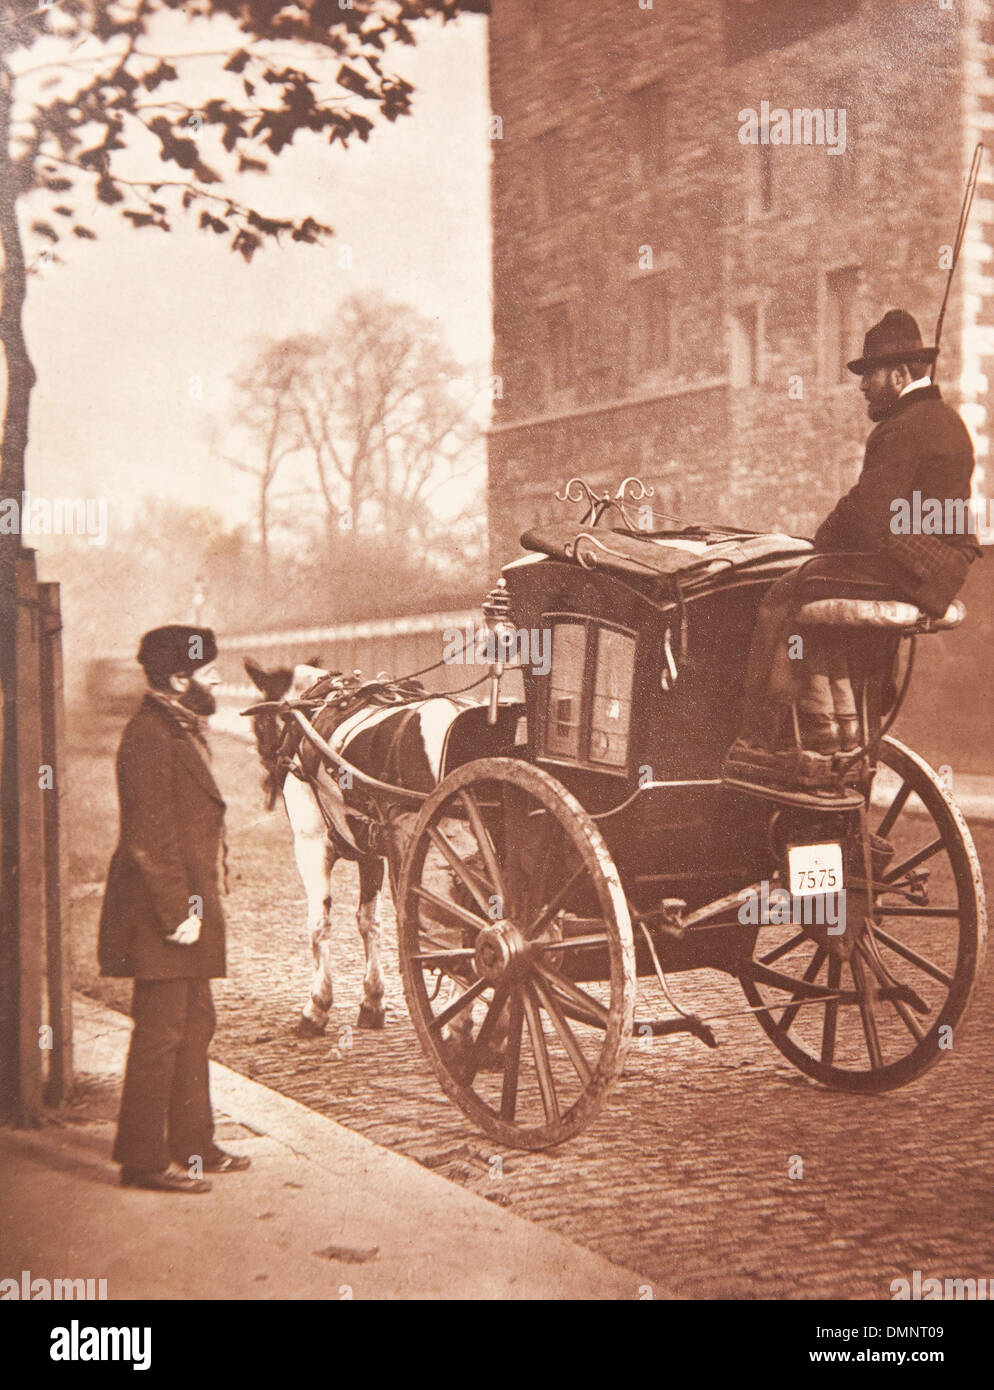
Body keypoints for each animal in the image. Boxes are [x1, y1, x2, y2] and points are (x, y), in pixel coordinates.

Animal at [244, 658, 486, 1034]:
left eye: (261, 723)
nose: (270, 773)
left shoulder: (311, 844)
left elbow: (320, 922)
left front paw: (317, 1006)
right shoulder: (371, 852)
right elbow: (368, 921)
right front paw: (373, 1000)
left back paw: (461, 1020)